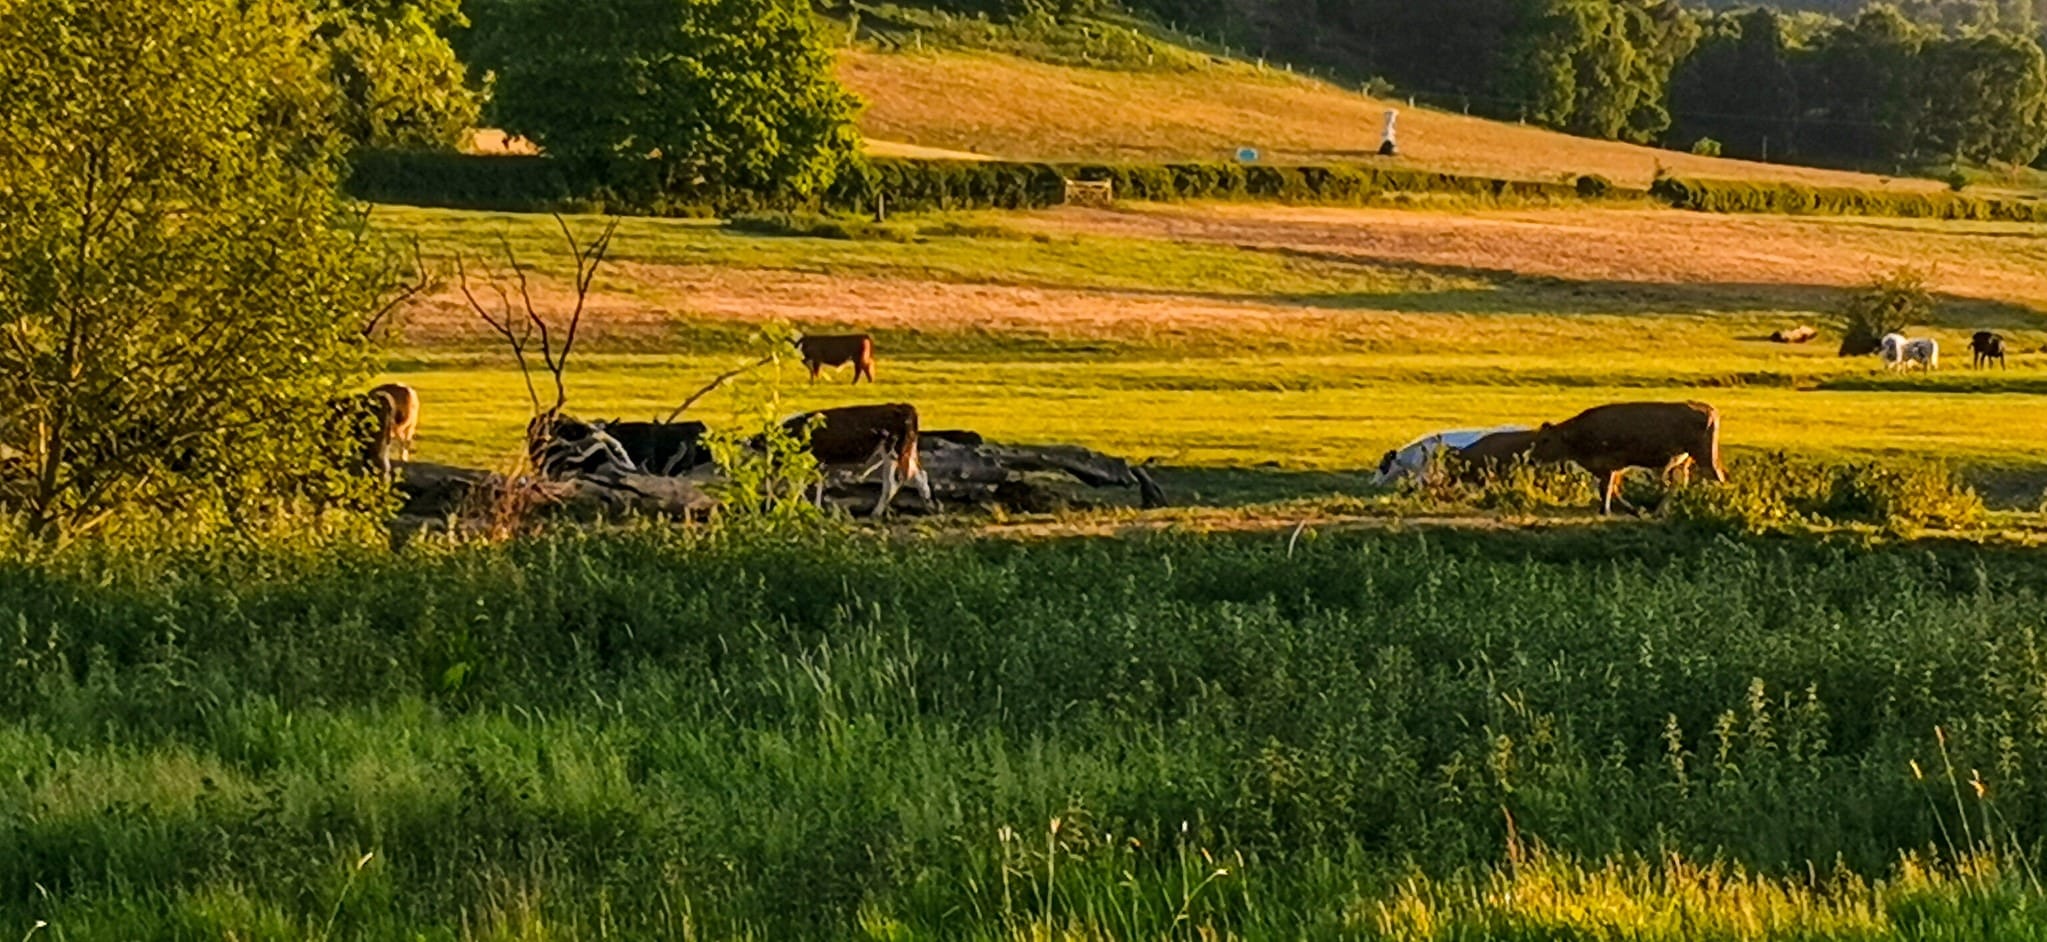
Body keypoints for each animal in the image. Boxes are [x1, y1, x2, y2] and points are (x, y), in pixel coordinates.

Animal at [779, 403, 930, 516]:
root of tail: (903, 406)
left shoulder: (814, 460)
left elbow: (803, 485)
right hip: (905, 452)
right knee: (920, 475)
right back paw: (928, 505)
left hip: (892, 452)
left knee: (892, 484)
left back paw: (876, 513)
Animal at [1528, 401, 1725, 515]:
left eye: (1545, 439)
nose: (1531, 459)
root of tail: (1710, 409)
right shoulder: (1612, 468)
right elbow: (1611, 489)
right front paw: (1631, 509)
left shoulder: (1610, 465)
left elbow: (1608, 488)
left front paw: (1607, 511)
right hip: (1684, 460)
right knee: (1679, 482)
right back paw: (1659, 511)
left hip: (1705, 456)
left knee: (1717, 477)